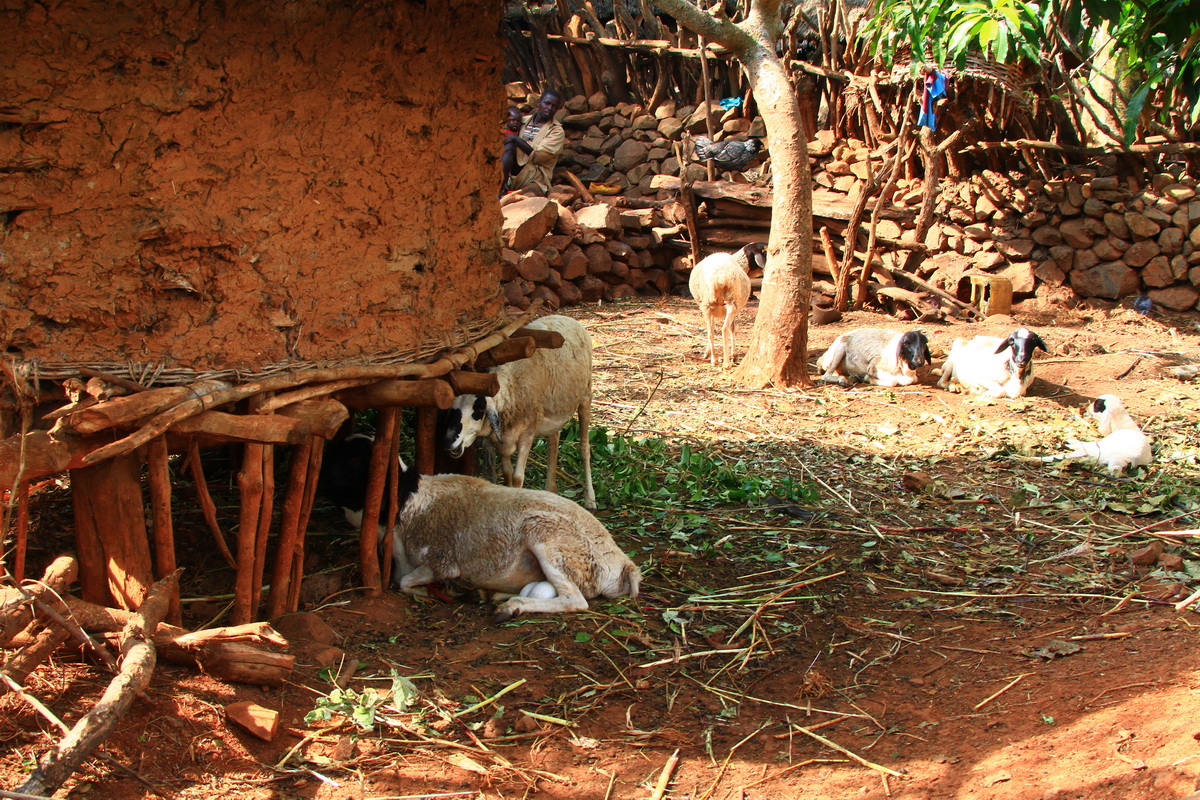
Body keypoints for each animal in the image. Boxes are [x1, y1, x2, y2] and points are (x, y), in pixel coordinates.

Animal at [388, 472, 643, 623]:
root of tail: (624, 565)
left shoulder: (440, 561)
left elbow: (405, 582)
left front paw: (428, 592)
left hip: (549, 537)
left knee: (575, 600)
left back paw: (510, 607)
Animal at [441, 311, 595, 506]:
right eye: (452, 407)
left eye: (479, 409)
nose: (448, 442)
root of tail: (565, 317)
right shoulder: (502, 441)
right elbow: (507, 476)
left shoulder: (527, 434)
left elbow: (516, 478)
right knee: (554, 441)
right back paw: (550, 489)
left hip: (585, 395)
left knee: (584, 447)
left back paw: (590, 498)